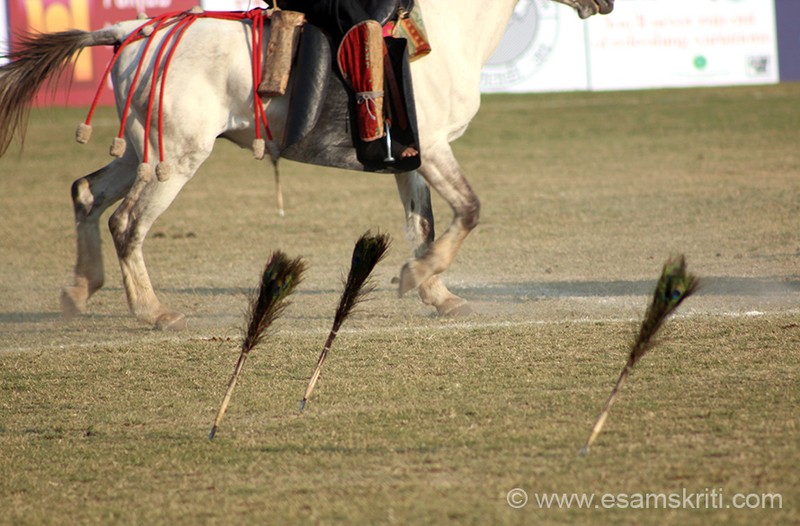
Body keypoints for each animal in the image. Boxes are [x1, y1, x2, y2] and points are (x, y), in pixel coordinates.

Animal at [0, 0, 612, 330]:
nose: (605, 5)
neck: (441, 37)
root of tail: (131, 33)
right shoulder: (436, 149)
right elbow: (469, 210)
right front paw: (418, 278)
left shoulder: (410, 159)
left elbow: (425, 226)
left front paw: (435, 292)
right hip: (174, 156)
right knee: (127, 224)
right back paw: (152, 311)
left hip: (139, 153)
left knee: (86, 194)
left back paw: (80, 289)